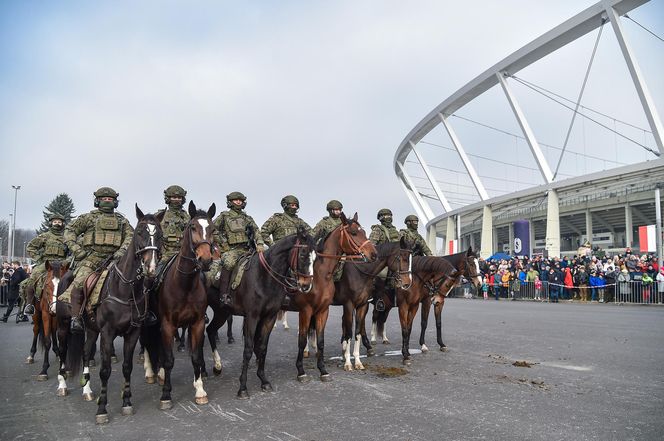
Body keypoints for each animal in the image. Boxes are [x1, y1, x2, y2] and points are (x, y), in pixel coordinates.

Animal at [142, 201, 215, 408]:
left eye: (212, 229)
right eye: (192, 227)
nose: (205, 260)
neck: (185, 285)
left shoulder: (197, 324)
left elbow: (196, 357)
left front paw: (200, 390)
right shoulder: (168, 325)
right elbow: (168, 360)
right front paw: (166, 394)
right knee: (146, 344)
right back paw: (151, 372)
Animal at [204, 225, 316, 398]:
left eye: (315, 257)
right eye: (303, 254)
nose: (306, 285)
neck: (264, 277)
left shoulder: (269, 317)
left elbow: (262, 347)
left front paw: (263, 380)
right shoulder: (252, 317)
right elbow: (248, 350)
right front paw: (243, 387)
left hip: (222, 312)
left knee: (210, 330)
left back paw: (217, 366)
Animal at [334, 239, 412, 370]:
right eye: (401, 257)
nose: (407, 283)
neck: (360, 273)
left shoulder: (363, 305)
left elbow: (358, 331)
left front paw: (357, 360)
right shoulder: (349, 305)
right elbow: (350, 331)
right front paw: (348, 363)